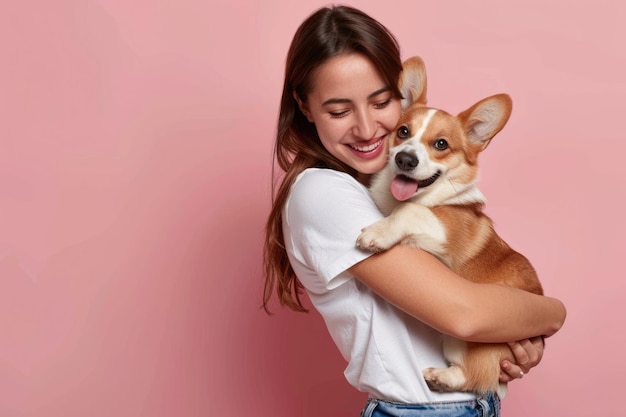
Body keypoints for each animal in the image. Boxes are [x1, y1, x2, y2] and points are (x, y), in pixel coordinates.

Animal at [356, 55, 540, 396]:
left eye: (441, 144)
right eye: (403, 131)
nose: (405, 159)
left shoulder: (445, 234)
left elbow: (411, 211)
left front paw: (378, 232)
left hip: (465, 340)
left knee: (477, 376)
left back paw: (442, 377)